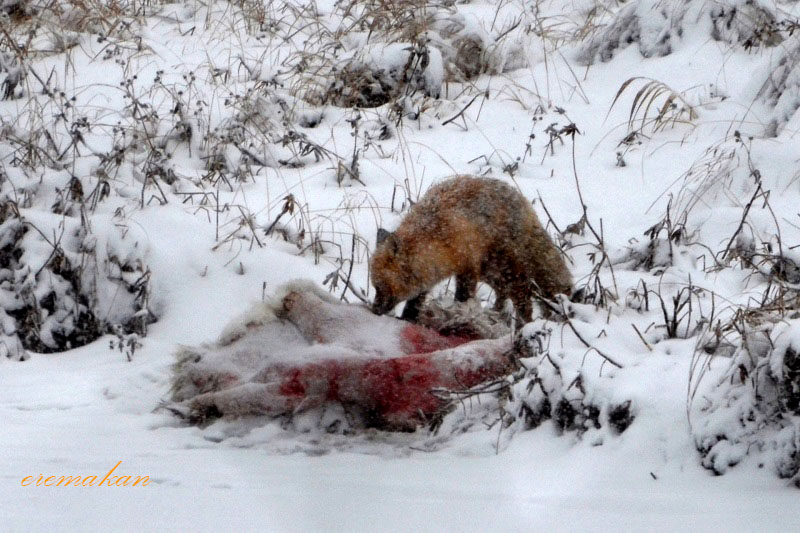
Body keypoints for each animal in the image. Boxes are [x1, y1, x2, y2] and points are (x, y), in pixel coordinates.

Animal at [370, 175, 573, 322]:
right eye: (375, 287)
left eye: (381, 287)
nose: (374, 310)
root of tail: (523, 201)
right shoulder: (428, 275)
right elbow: (415, 300)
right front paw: (408, 317)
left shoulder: (468, 267)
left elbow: (463, 297)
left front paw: (460, 315)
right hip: (491, 272)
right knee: (504, 294)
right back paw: (498, 314)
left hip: (507, 269)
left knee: (524, 298)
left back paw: (523, 325)